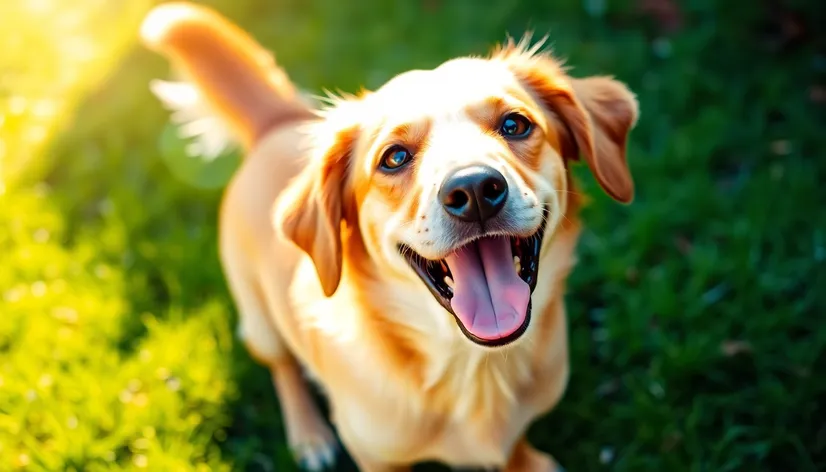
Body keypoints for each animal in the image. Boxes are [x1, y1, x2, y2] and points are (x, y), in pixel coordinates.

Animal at [140, 2, 636, 468]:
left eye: (515, 124)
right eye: (394, 157)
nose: (475, 190)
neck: (472, 367)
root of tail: (276, 123)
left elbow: (513, 445)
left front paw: (526, 462)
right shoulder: (374, 454)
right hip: (260, 319)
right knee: (282, 367)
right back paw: (309, 435)